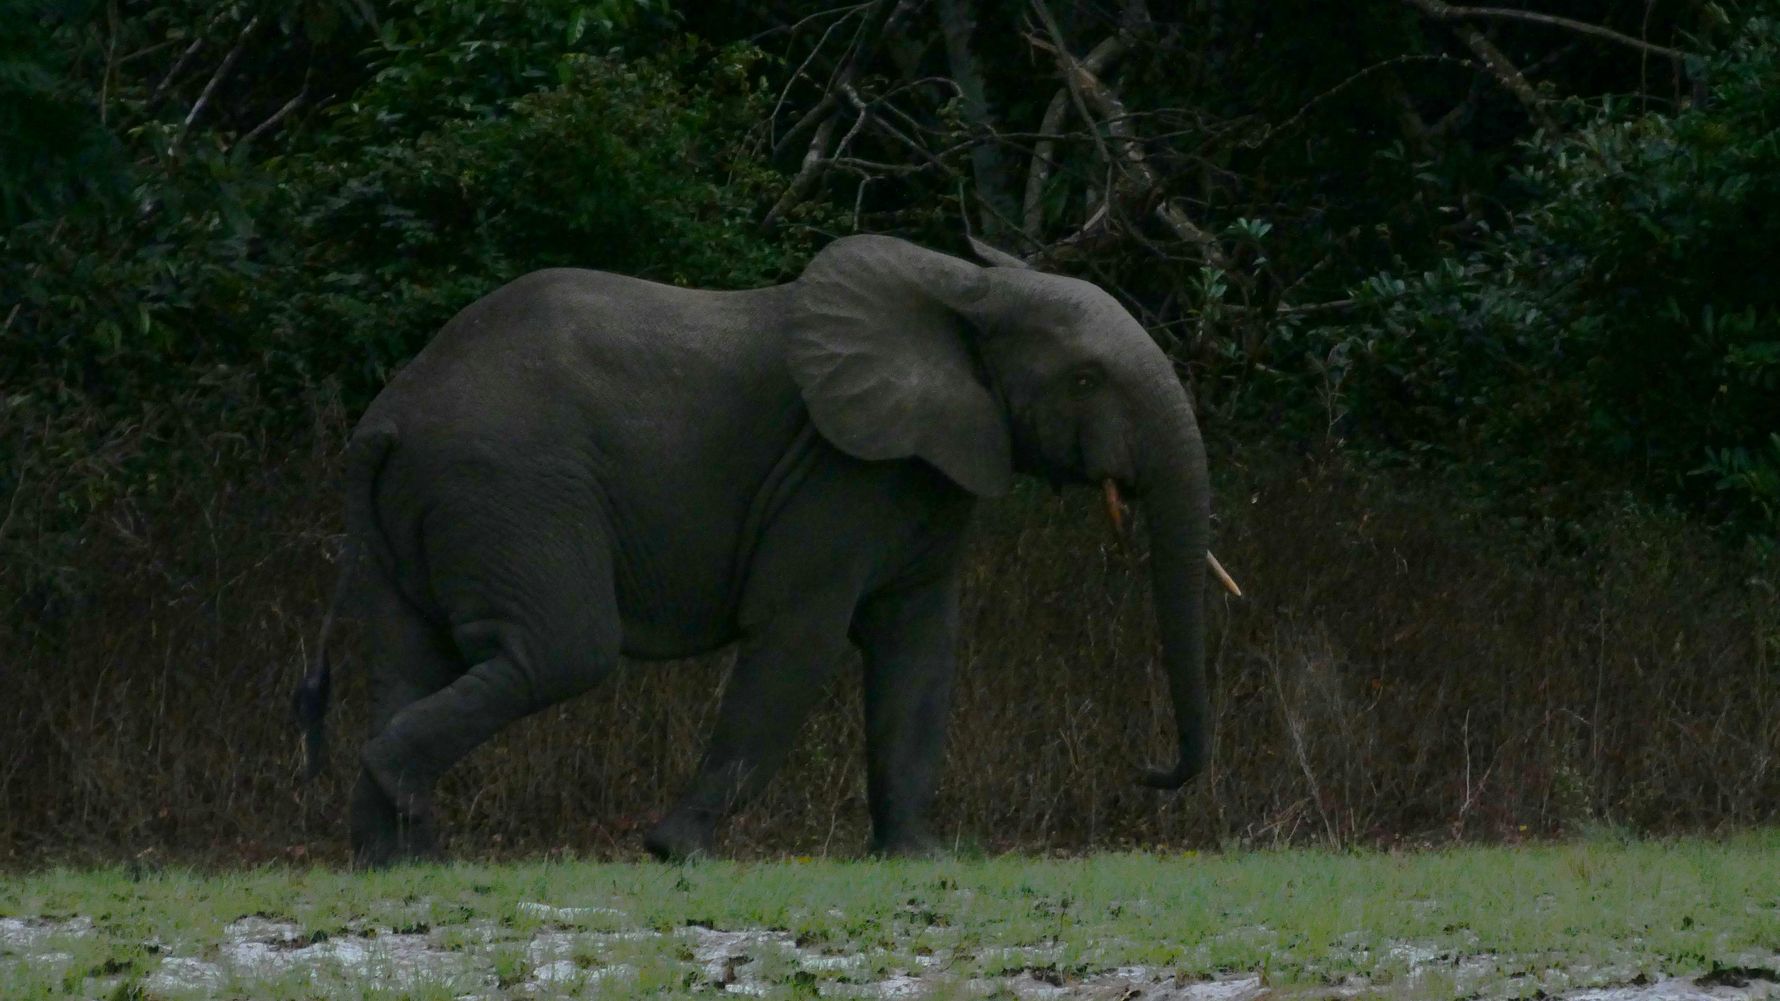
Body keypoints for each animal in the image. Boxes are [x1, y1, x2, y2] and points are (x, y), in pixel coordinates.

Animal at [293, 234, 1227, 866]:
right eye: (1085, 379)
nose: (1148, 772)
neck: (963, 288)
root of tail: (389, 414)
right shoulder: (840, 471)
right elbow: (799, 640)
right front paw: (678, 853)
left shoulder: (929, 467)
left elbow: (920, 649)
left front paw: (917, 857)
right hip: (509, 484)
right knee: (562, 650)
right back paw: (411, 832)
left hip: (431, 501)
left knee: (410, 659)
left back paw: (393, 859)